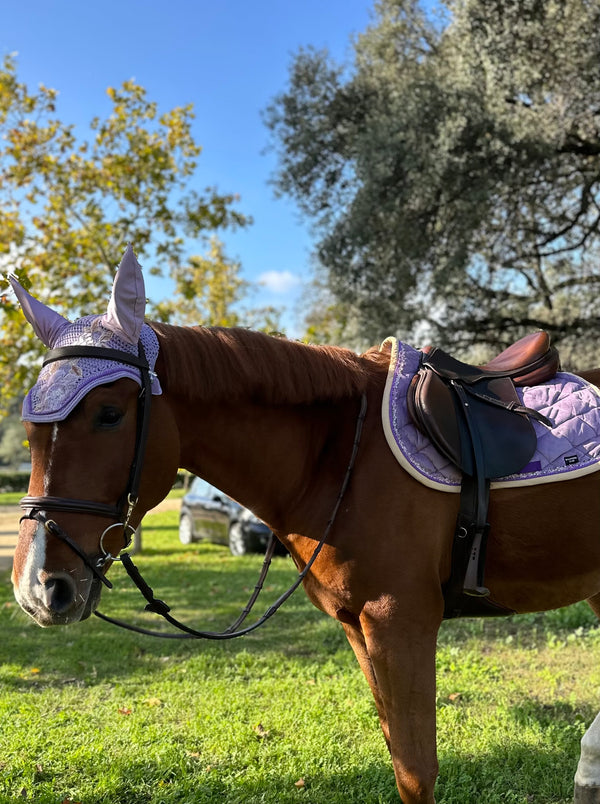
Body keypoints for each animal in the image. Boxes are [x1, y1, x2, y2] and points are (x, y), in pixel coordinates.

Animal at [9, 247, 600, 804]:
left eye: (109, 414)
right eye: (29, 430)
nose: (38, 588)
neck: (339, 455)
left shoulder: (400, 620)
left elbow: (415, 772)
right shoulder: (357, 626)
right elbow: (399, 754)